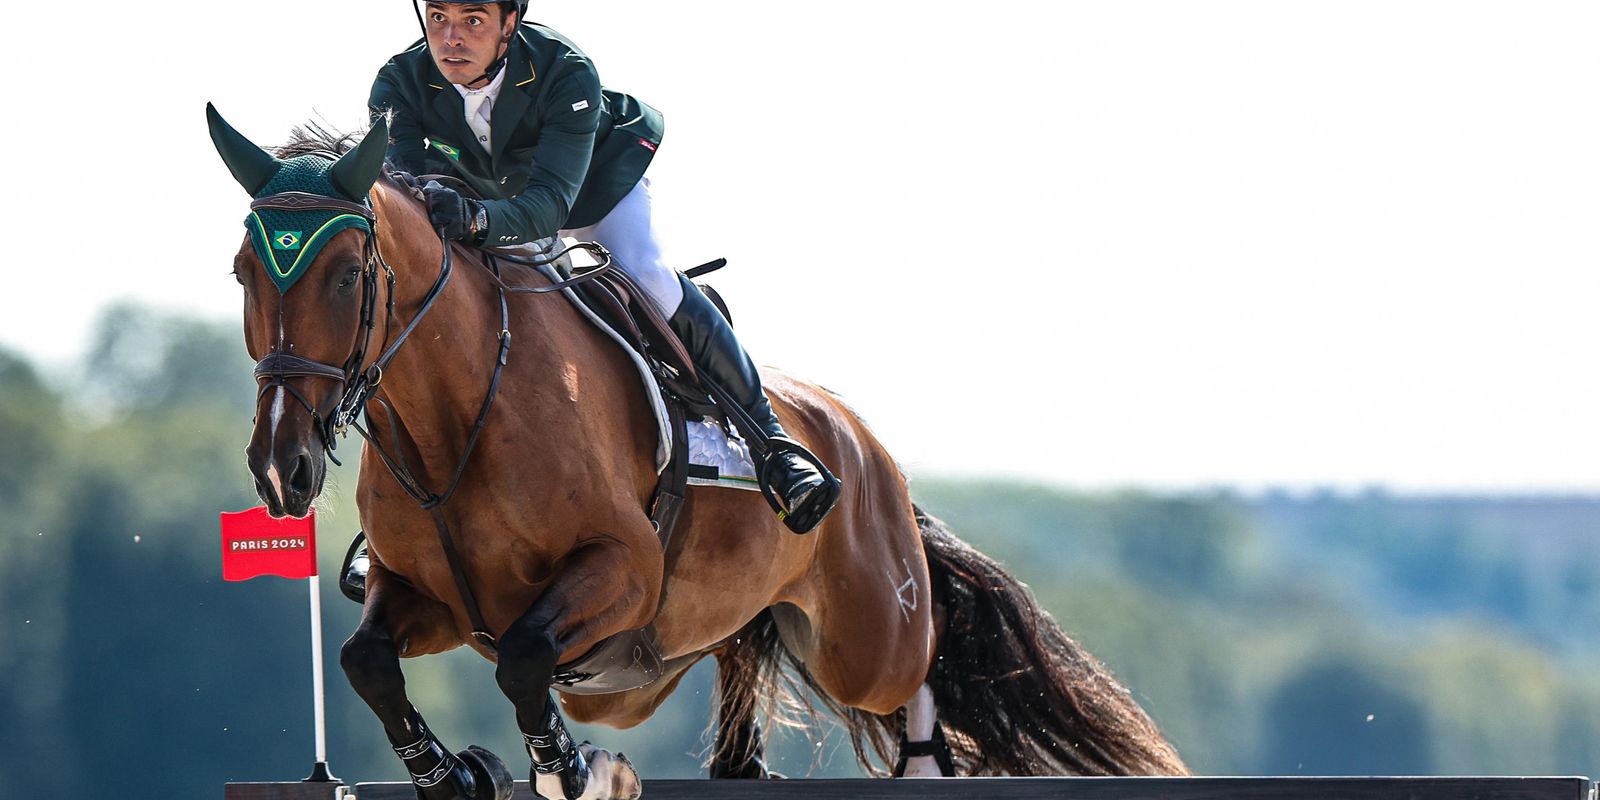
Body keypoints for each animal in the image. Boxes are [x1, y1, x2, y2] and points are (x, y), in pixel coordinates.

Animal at [209, 109, 1190, 800]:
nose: (281, 469)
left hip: (865, 633)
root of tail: (865, 448)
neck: (456, 416)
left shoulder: (622, 570)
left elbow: (525, 658)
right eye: (243, 273)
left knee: (919, 658)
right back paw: (739, 763)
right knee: (744, 648)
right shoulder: (427, 597)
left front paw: (571, 769)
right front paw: (451, 774)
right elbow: (366, 663)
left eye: (347, 275)